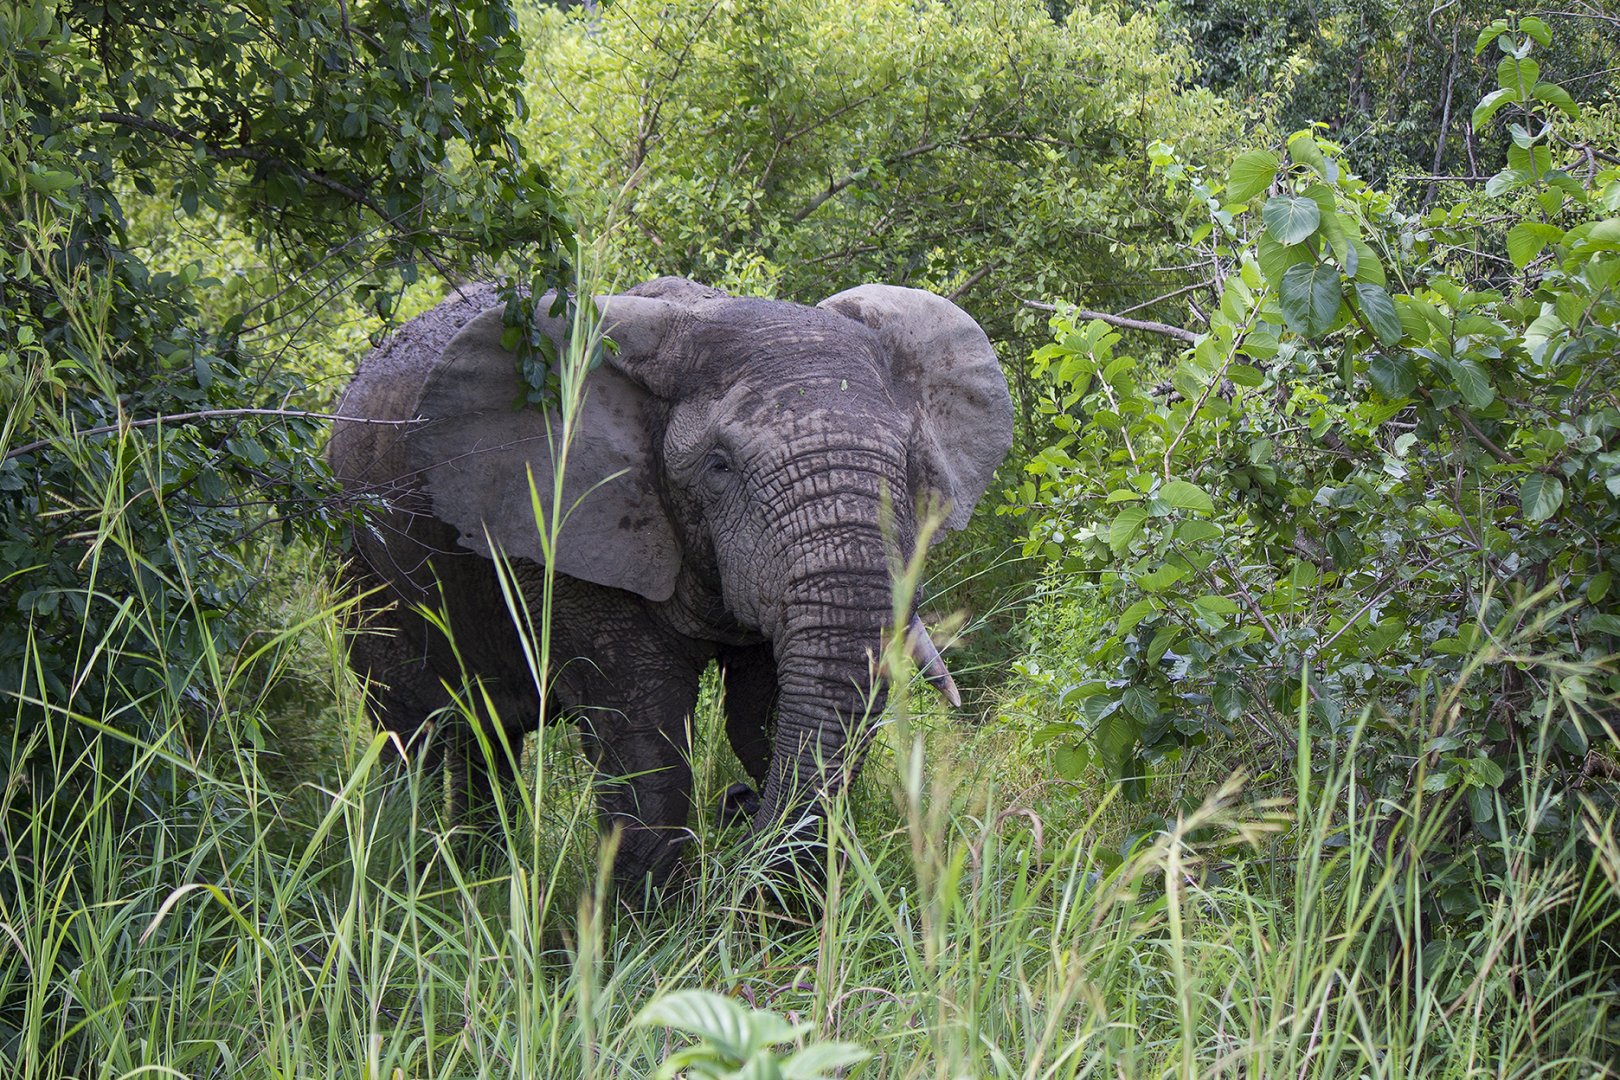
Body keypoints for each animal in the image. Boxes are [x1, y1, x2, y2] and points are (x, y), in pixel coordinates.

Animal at [328, 276, 1013, 891]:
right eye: (719, 466)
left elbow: (762, 716)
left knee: (486, 731)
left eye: (908, 464)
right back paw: (411, 875)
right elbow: (648, 738)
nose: (737, 804)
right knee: (410, 728)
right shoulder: (567, 531)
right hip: (360, 556)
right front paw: (644, 932)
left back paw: (479, 878)